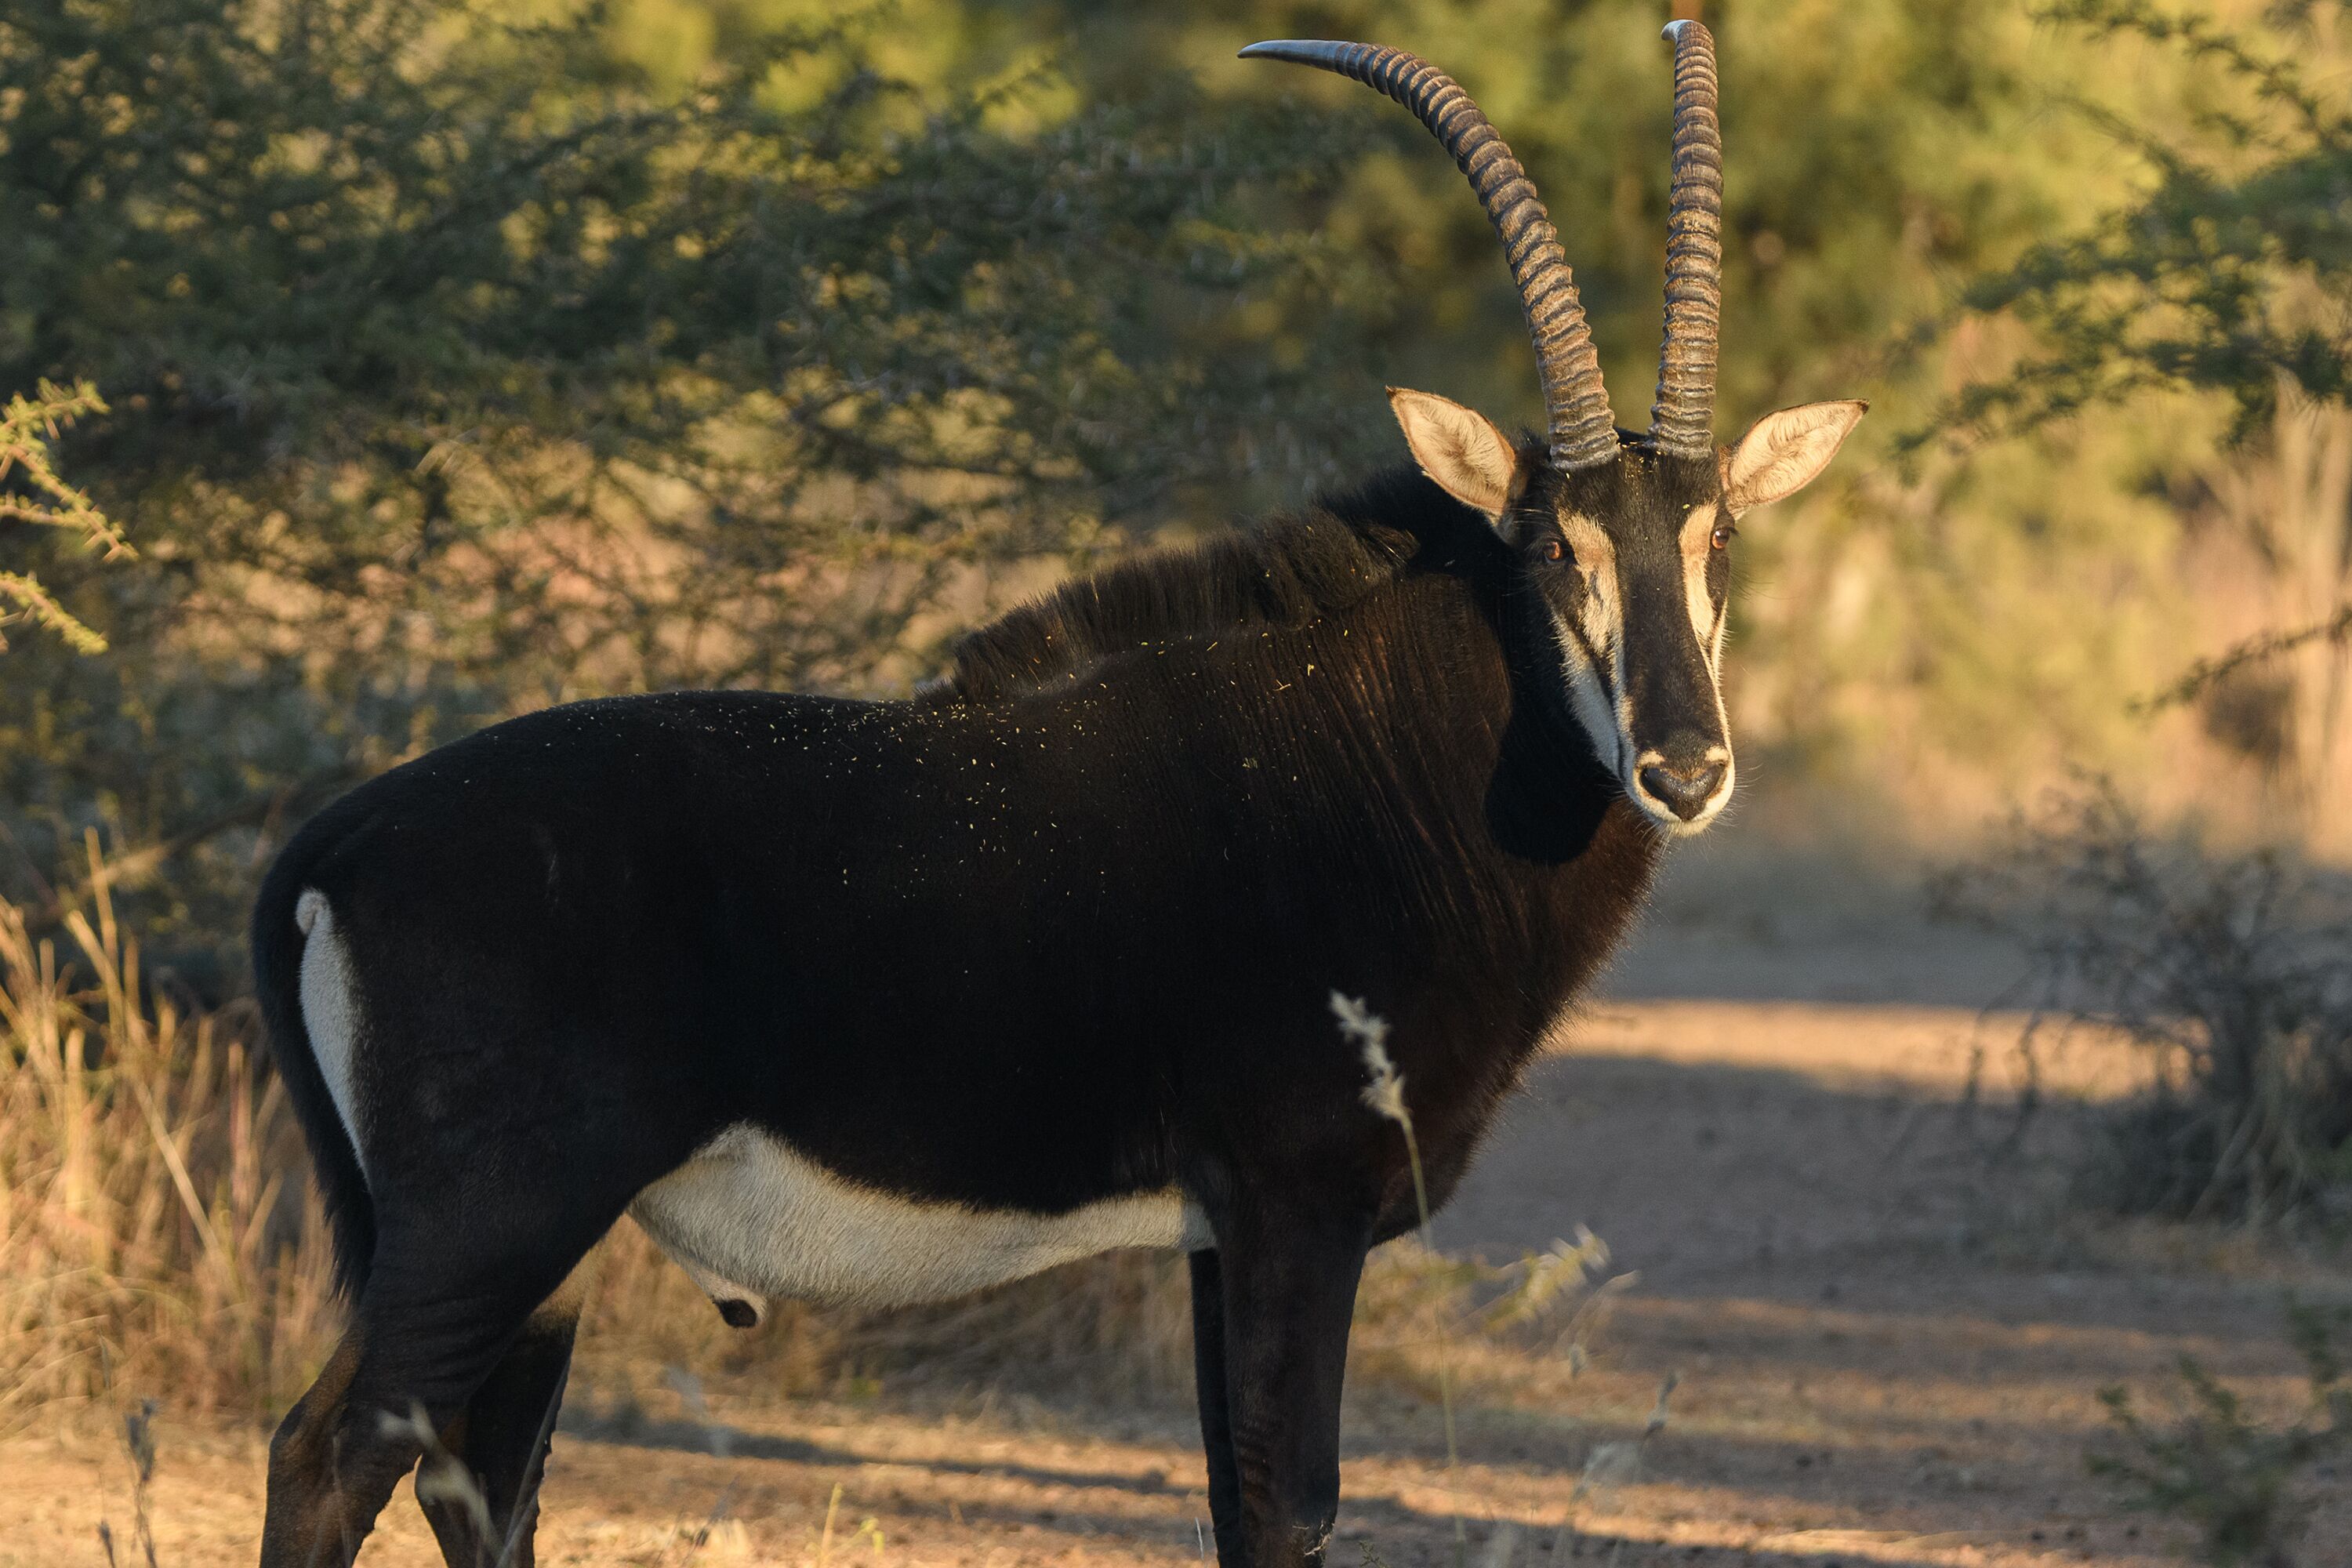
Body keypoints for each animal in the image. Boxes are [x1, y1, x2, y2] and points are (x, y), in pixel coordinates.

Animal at [252, 22, 1863, 1567]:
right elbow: (1291, 1506)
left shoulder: (1219, 1232)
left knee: (480, 1487)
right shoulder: (1297, 1204)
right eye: (1555, 551)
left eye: (1718, 540)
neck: (1376, 756)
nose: (1683, 769)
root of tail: (334, 845)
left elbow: (1234, 1502)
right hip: (493, 1232)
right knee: (331, 1457)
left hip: (542, 1260)